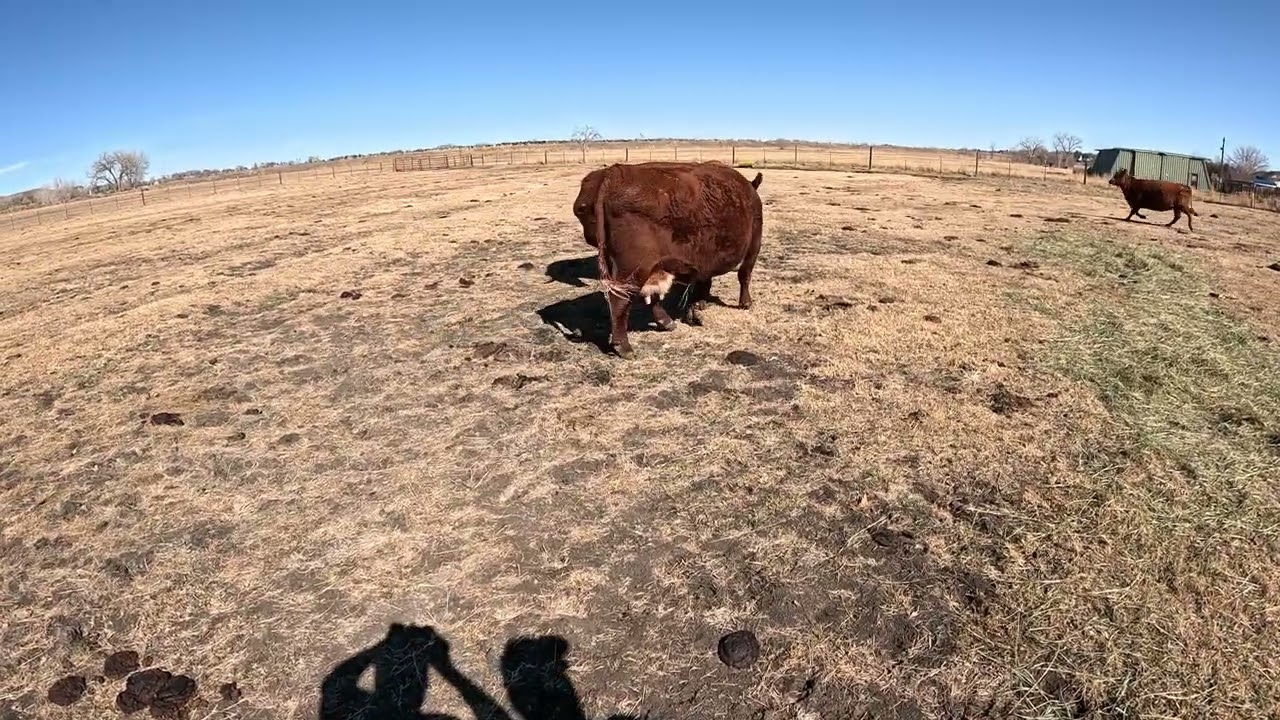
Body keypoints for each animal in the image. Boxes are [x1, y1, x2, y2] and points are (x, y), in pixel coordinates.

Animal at [572, 161, 763, 358]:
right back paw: (623, 346)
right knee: (620, 299)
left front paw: (696, 309)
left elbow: (703, 282)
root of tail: (612, 174)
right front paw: (745, 303)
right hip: (635, 268)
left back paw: (666, 322)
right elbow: (744, 275)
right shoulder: (754, 244)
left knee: (649, 295)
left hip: (641, 265)